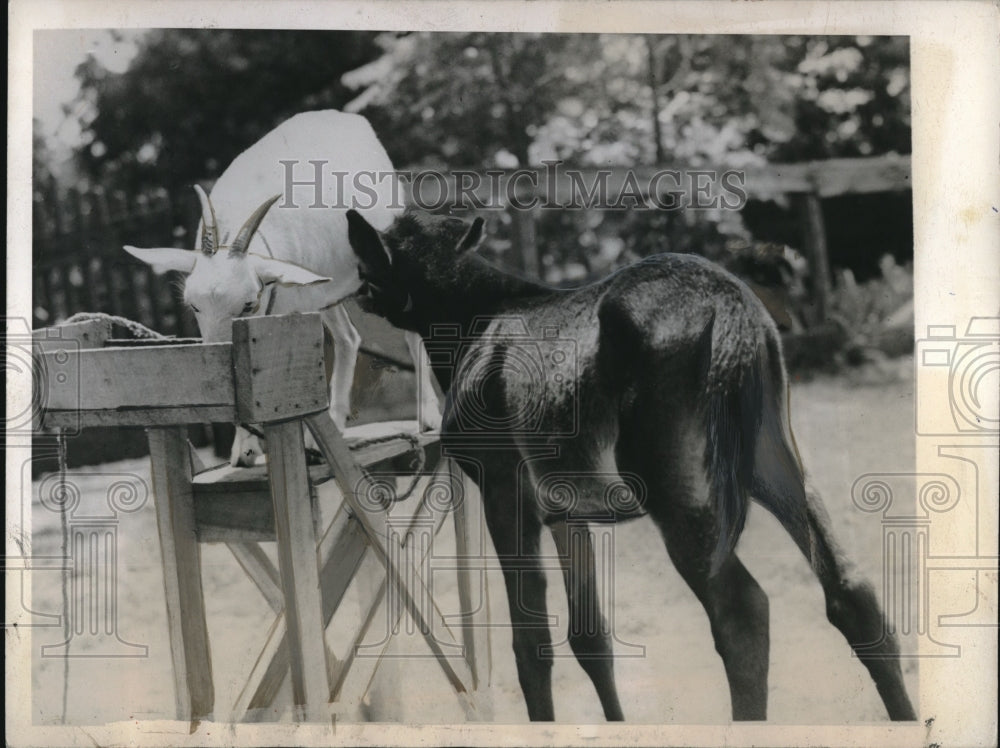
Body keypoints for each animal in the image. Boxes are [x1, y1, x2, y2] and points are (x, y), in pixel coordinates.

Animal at [125, 109, 442, 464]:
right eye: (193, 305)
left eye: (248, 304)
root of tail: (349, 118)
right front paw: (245, 449)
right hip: (326, 292)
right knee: (348, 337)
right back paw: (335, 424)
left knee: (408, 327)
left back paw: (428, 417)